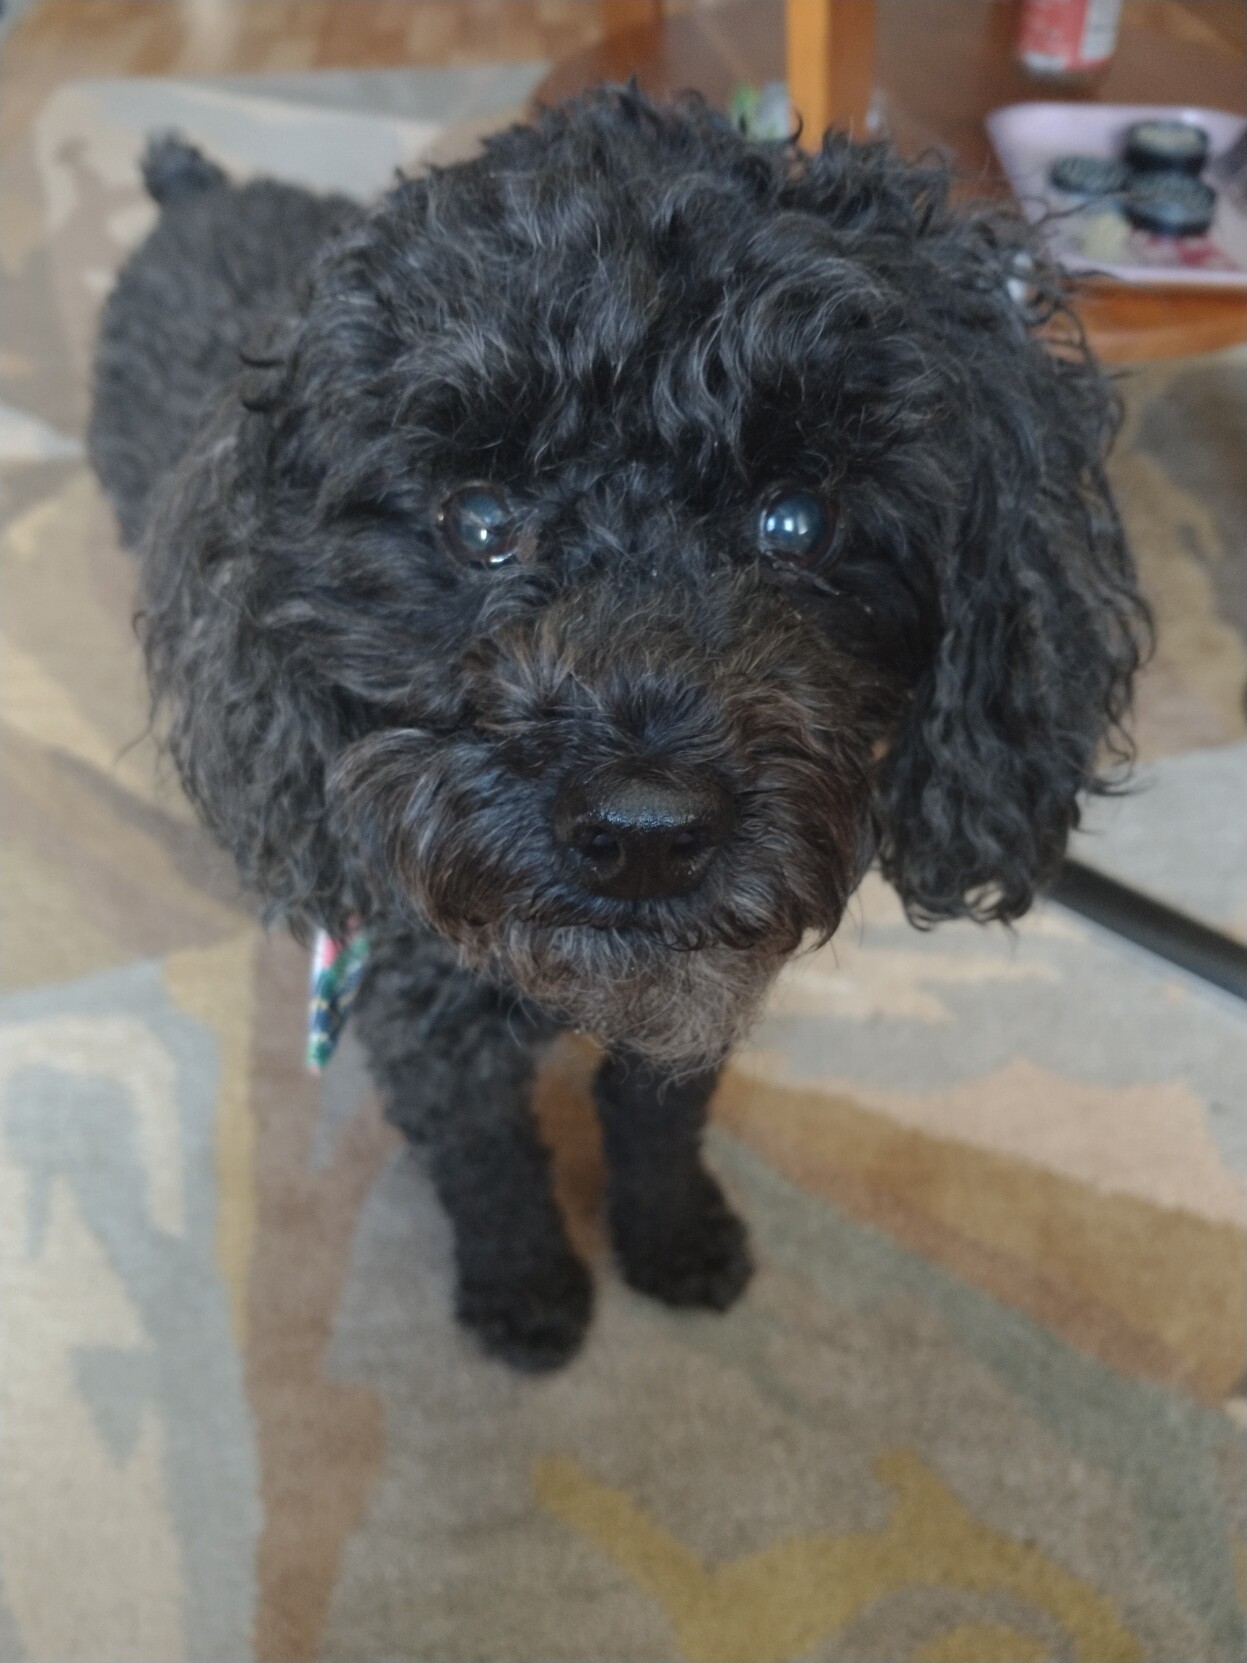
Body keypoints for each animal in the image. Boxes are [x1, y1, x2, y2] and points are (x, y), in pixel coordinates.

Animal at [90, 87, 1148, 1370]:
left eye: (796, 519)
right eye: (476, 520)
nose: (644, 832)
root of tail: (196, 187)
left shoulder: (694, 994)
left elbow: (657, 1120)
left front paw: (675, 1237)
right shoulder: (433, 1038)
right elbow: (487, 1165)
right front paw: (526, 1292)